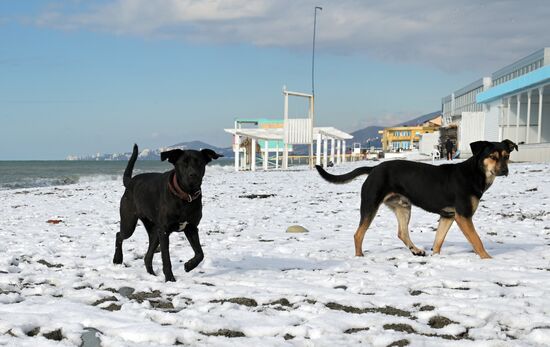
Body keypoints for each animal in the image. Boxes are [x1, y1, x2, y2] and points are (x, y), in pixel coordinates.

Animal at [114, 145, 224, 282]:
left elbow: (200, 253)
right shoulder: (165, 231)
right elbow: (166, 258)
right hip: (129, 223)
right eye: (183, 163)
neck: (185, 196)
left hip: (155, 231)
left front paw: (189, 265)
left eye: (200, 163)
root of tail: (130, 182)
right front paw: (170, 279)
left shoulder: (192, 228)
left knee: (147, 256)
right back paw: (117, 259)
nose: (193, 175)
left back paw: (151, 274)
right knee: (119, 235)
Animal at [316, 140, 520, 260]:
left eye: (507, 156)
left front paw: (435, 257)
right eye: (492, 156)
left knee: (402, 232)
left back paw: (416, 250)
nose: (504, 170)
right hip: (370, 205)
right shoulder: (463, 216)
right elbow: (477, 240)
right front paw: (488, 260)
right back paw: (359, 256)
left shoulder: (448, 216)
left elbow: (439, 240)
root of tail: (373, 168)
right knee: (358, 234)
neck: (475, 173)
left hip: (403, 207)